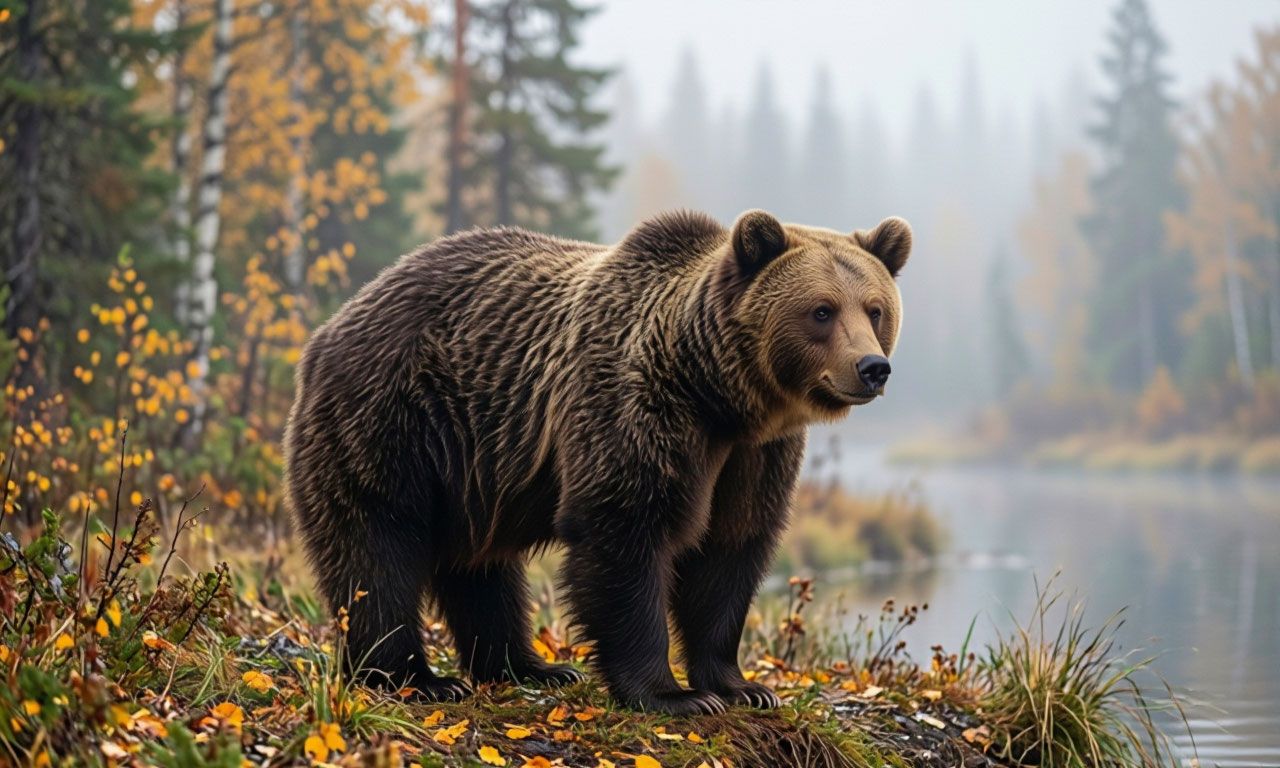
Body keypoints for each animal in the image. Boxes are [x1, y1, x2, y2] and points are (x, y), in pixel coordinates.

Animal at [283, 209, 912, 715]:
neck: (721, 397)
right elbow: (625, 532)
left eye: (875, 309)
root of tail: (330, 328)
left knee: (482, 567)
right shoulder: (635, 407)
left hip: (473, 468)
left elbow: (730, 551)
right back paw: (412, 678)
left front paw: (742, 686)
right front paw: (673, 695)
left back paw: (529, 666)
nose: (872, 368)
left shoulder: (753, 457)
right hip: (393, 420)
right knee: (376, 545)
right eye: (822, 310)